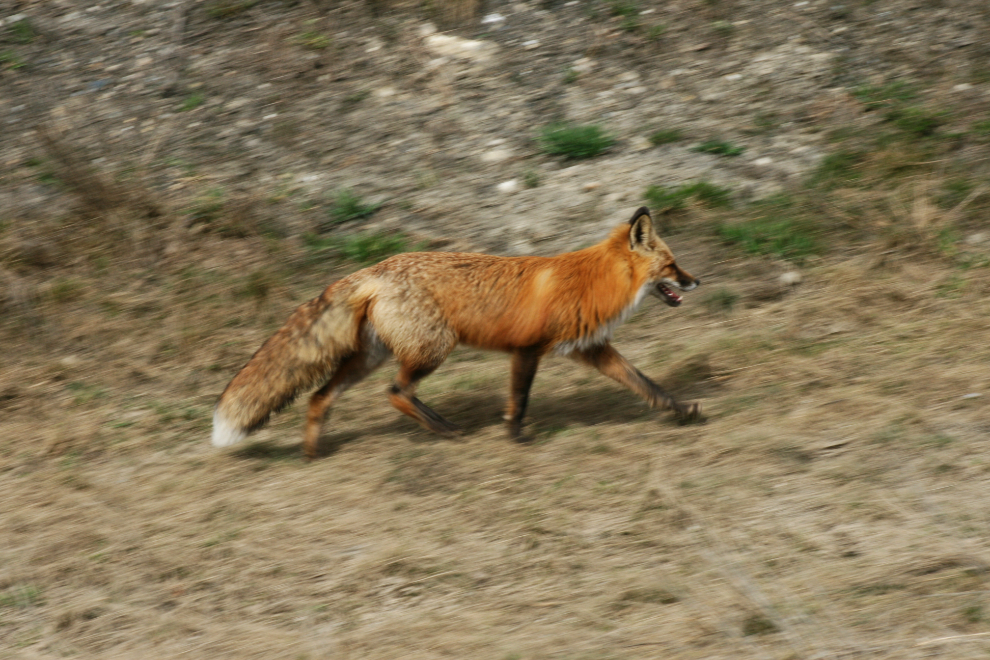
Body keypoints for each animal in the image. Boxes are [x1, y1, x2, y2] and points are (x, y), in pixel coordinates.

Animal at [213, 208, 700, 458]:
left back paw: (313, 453)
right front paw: (515, 438)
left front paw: (681, 411)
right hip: (433, 349)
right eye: (672, 265)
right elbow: (519, 400)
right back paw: (444, 430)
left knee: (320, 397)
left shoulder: (591, 348)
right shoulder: (527, 349)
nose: (697, 281)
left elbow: (646, 384)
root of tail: (373, 269)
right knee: (395, 393)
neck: (593, 279)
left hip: (370, 358)